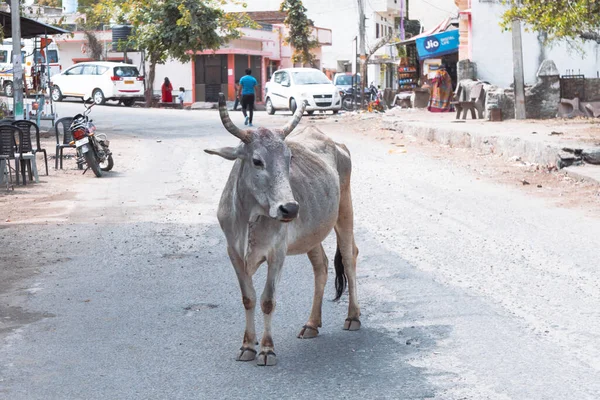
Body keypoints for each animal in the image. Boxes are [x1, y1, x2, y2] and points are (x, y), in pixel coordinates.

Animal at [204, 93, 358, 366]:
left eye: (289, 159)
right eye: (257, 161)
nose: (290, 208)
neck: (249, 218)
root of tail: (337, 144)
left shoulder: (277, 253)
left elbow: (267, 300)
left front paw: (267, 349)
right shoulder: (233, 252)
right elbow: (248, 298)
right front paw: (247, 345)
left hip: (344, 212)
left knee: (350, 258)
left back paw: (353, 317)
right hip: (312, 234)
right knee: (322, 266)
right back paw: (312, 324)